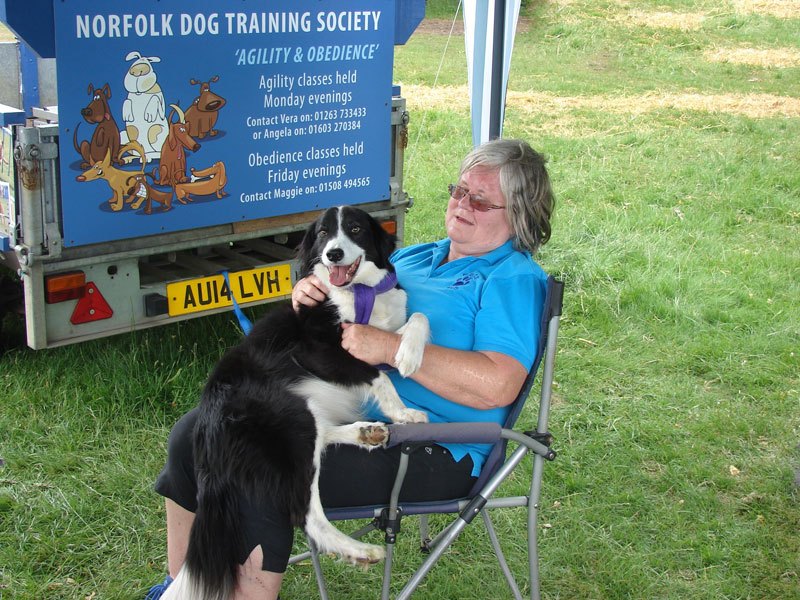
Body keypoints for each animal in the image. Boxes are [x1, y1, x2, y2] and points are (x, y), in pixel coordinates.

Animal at [164, 206, 432, 600]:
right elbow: (377, 375)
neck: (359, 291)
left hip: (303, 415)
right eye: (322, 233)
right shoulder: (318, 352)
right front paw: (402, 411)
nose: (333, 254)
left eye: (354, 229)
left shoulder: (379, 334)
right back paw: (358, 550)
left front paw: (409, 356)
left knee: (323, 437)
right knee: (305, 514)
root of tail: (210, 430)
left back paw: (366, 432)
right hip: (290, 415)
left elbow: (418, 318)